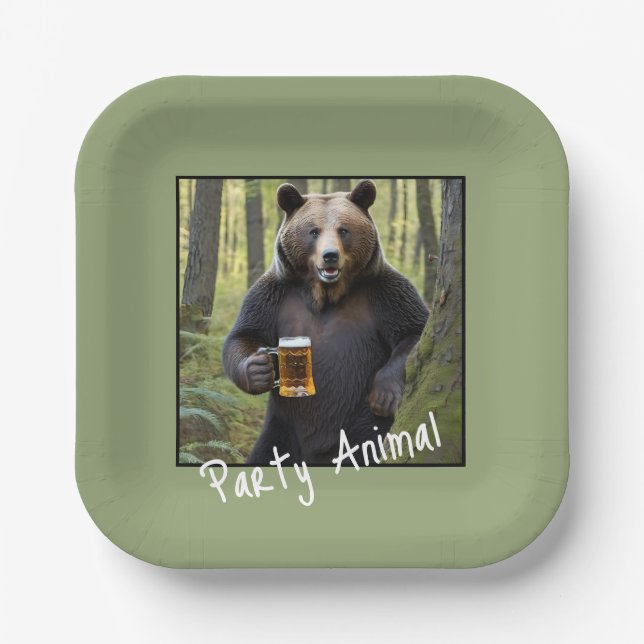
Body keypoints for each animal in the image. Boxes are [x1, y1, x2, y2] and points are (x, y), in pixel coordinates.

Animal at [222, 179, 429, 465]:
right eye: (313, 231)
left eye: (343, 230)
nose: (330, 255)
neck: (326, 293)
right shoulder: (274, 296)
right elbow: (244, 335)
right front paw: (258, 369)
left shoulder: (383, 293)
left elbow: (412, 331)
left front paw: (384, 394)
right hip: (283, 426)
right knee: (266, 453)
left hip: (356, 425)